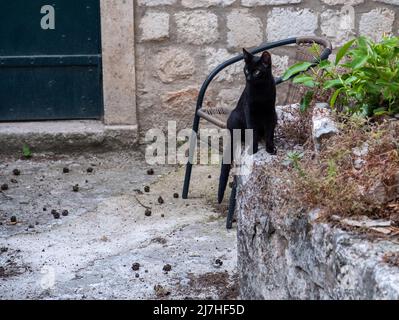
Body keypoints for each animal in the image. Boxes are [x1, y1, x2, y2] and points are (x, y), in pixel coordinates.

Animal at [219, 48, 278, 204]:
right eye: (246, 70)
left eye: (257, 71)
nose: (249, 78)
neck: (260, 91)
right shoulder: (249, 112)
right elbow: (253, 132)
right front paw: (254, 149)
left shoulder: (270, 113)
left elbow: (269, 133)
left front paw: (270, 148)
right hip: (234, 117)